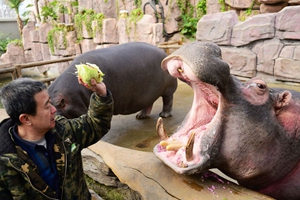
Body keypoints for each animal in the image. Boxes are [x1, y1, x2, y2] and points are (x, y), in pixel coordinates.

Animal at [48, 41, 177, 119]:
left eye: (56, 115)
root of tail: (164, 52)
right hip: (149, 93)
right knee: (148, 103)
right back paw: (140, 116)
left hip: (168, 89)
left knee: (168, 100)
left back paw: (164, 114)